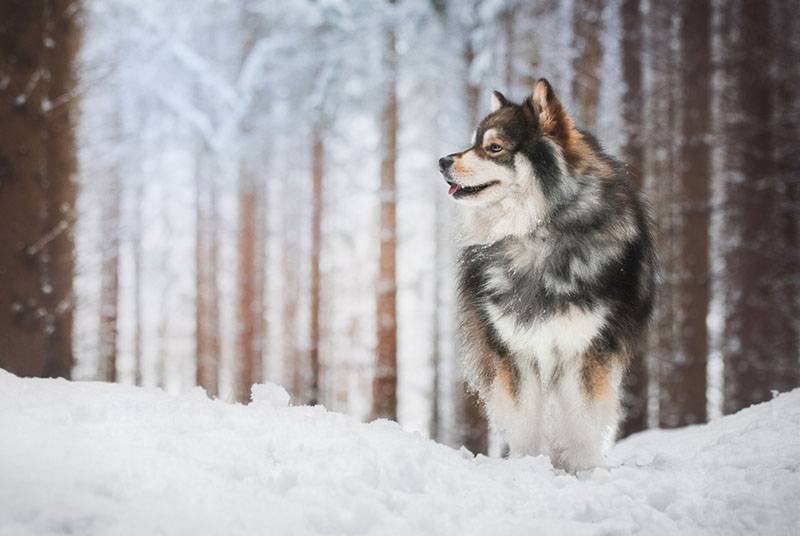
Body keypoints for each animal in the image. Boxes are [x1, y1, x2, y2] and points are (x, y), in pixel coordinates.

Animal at [438, 77, 656, 472]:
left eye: (494, 147)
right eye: (474, 142)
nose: (443, 161)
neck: (538, 232)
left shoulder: (584, 352)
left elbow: (582, 425)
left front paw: (586, 473)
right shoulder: (515, 353)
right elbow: (525, 424)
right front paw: (527, 467)